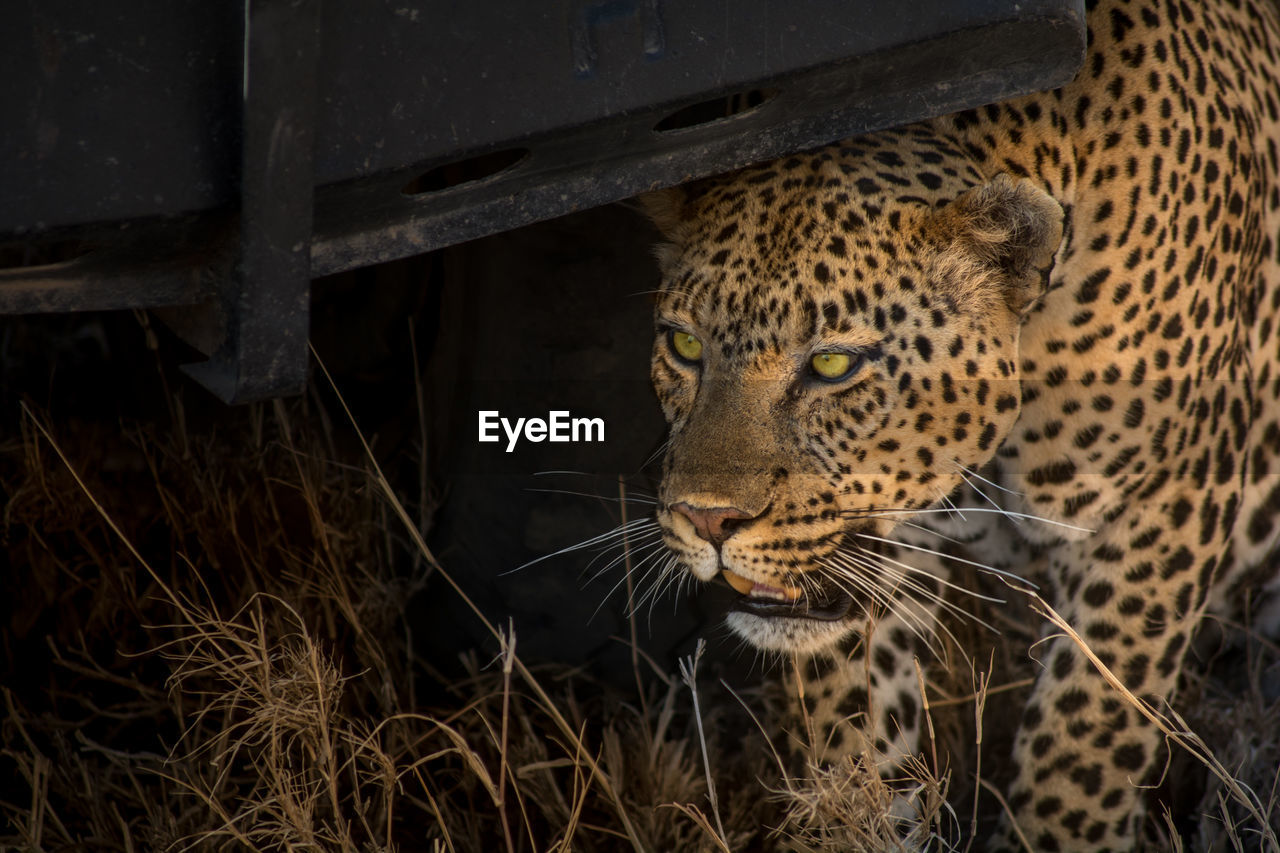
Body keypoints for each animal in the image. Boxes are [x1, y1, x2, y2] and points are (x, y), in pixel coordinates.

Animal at [637, 3, 1280, 845]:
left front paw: (1060, 828)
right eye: (684, 346)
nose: (707, 519)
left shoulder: (1165, 498)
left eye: (833, 364)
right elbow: (855, 731)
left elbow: (1091, 726)